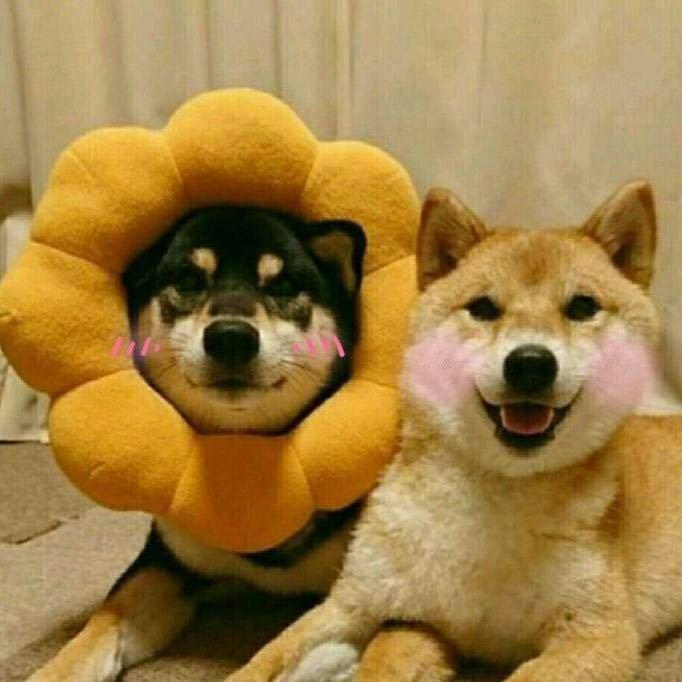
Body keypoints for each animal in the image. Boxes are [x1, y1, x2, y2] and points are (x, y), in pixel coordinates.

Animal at [227, 180, 682, 682]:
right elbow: (267, 657)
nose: (530, 363)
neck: (497, 497)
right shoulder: (363, 602)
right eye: (482, 308)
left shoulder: (596, 635)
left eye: (582, 307)